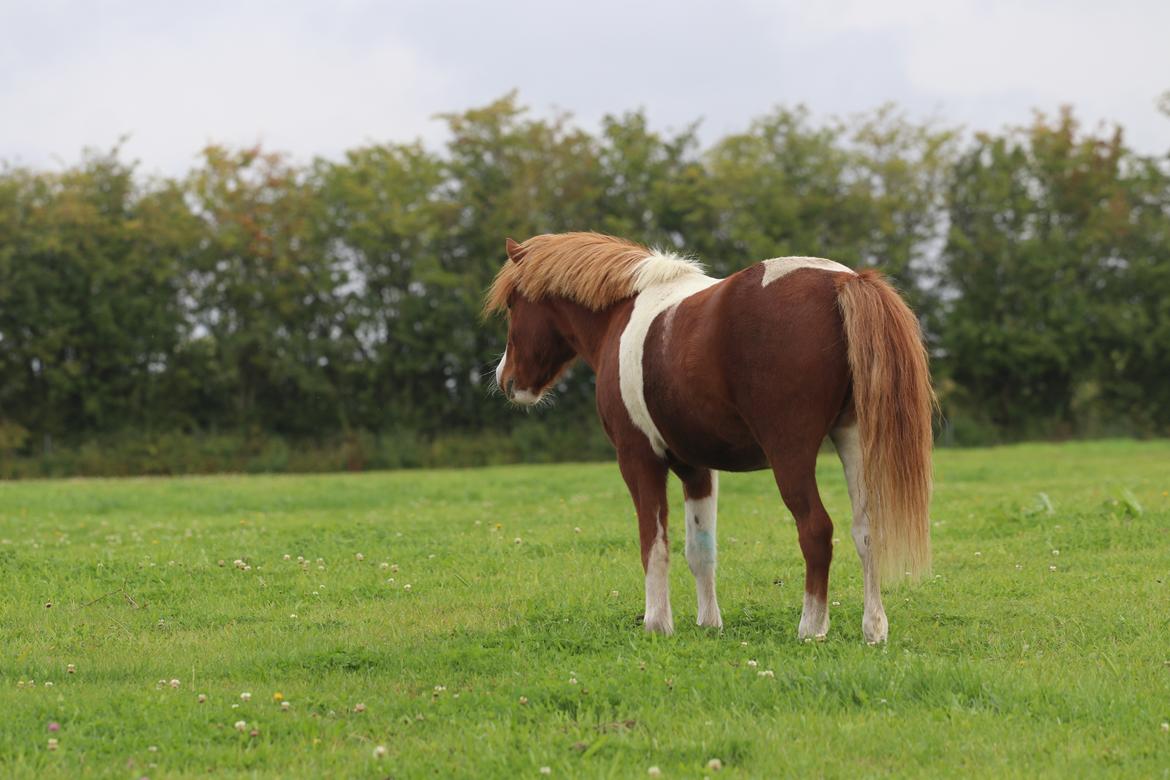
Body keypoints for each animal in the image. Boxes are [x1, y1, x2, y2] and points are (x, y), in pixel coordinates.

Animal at [484, 230, 931, 640]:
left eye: (512, 304)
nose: (507, 379)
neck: (622, 312)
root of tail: (841, 281)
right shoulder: (696, 467)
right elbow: (701, 549)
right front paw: (709, 623)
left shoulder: (638, 457)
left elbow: (653, 544)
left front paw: (657, 624)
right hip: (853, 439)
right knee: (866, 530)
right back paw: (873, 628)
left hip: (791, 452)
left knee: (816, 529)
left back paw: (811, 627)